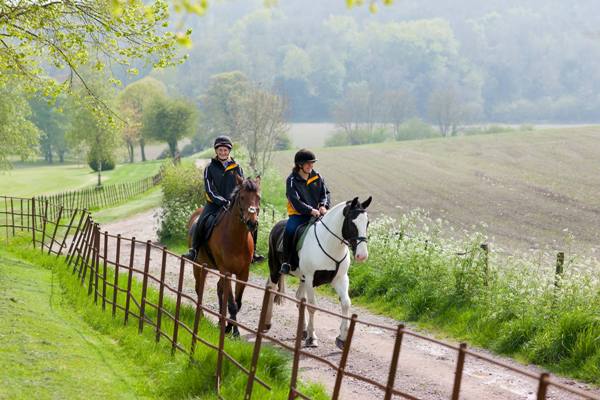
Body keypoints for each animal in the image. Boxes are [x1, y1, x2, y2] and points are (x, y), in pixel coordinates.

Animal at [188, 177, 260, 336]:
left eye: (258, 197)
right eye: (242, 197)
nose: (252, 222)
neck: (236, 238)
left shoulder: (243, 273)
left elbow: (237, 303)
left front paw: (231, 329)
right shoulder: (226, 270)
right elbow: (232, 304)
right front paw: (231, 330)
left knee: (219, 289)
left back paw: (220, 321)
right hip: (199, 266)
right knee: (199, 288)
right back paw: (201, 315)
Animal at [264, 197, 370, 350]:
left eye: (367, 222)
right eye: (352, 222)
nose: (362, 255)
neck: (329, 244)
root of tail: (276, 225)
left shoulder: (340, 279)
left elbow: (345, 303)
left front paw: (342, 339)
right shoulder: (310, 279)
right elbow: (312, 306)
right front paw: (312, 338)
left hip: (302, 279)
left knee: (299, 298)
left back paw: (302, 330)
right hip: (275, 269)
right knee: (272, 291)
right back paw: (267, 323)